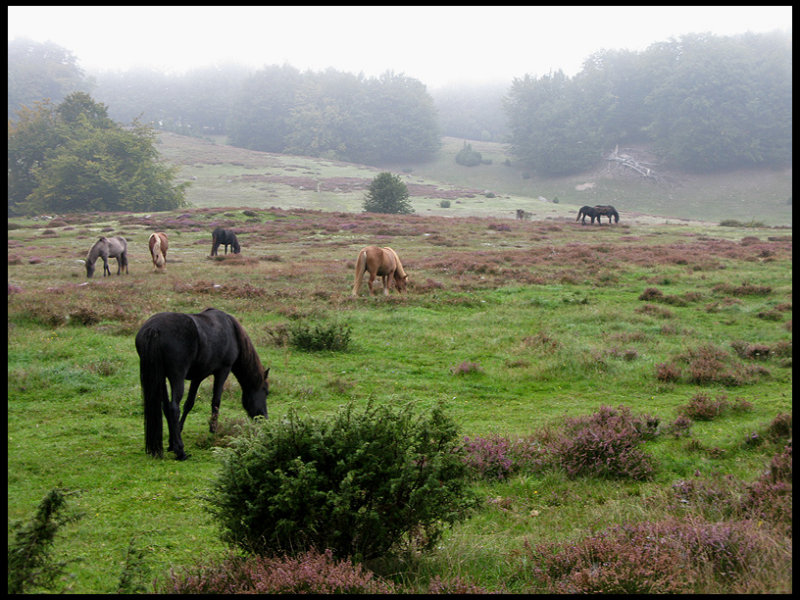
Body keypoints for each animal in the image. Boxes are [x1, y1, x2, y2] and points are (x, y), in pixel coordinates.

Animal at [133, 308, 268, 462]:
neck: (231, 330)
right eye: (266, 392)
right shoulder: (223, 370)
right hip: (176, 377)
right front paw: (213, 430)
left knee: (166, 407)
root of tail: (154, 329)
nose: (265, 419)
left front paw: (175, 436)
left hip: (160, 378)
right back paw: (181, 452)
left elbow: (189, 404)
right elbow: (216, 401)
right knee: (173, 408)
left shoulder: (197, 377)